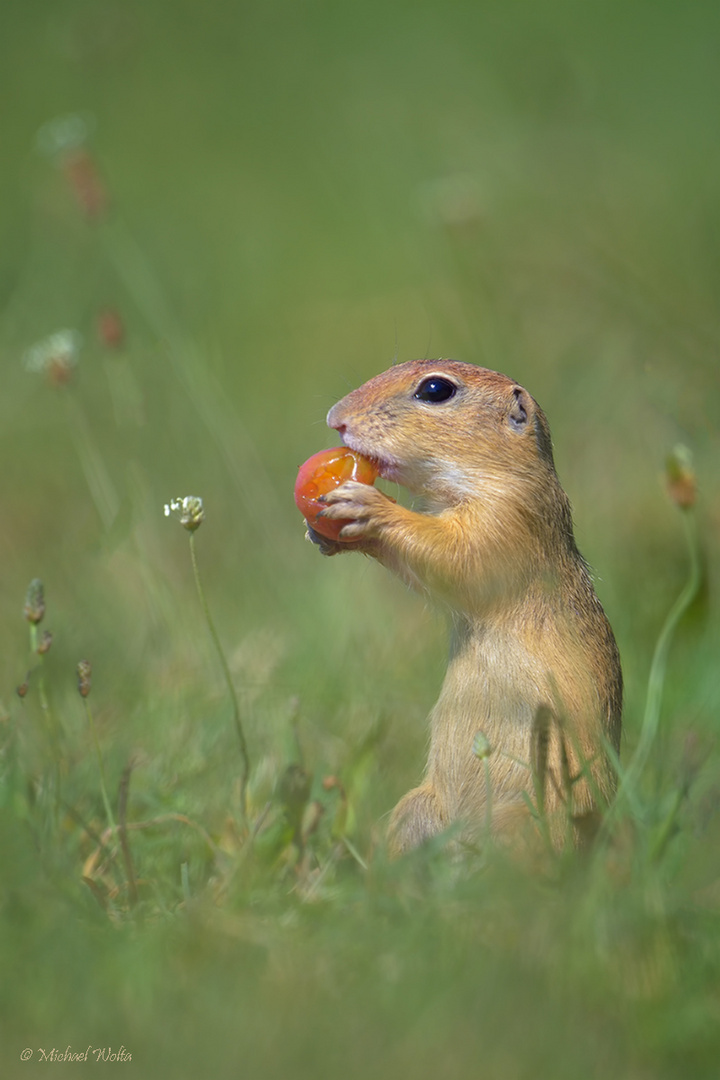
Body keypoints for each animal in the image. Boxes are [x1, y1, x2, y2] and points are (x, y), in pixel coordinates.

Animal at [308, 360, 621, 851]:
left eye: (436, 389)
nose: (334, 418)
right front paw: (327, 535)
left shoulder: (506, 521)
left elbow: (455, 556)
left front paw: (367, 506)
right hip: (416, 809)